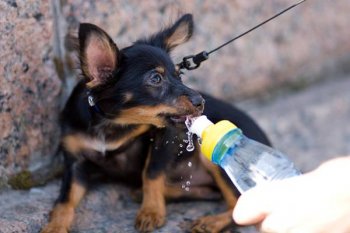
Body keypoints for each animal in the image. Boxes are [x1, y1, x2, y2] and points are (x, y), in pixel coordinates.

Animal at [41, 14, 270, 233]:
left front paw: (151, 211)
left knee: (239, 207)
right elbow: (64, 200)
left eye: (180, 75)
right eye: (155, 79)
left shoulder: (164, 136)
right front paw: (54, 227)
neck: (112, 123)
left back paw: (210, 222)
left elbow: (151, 172)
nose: (201, 101)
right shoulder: (75, 161)